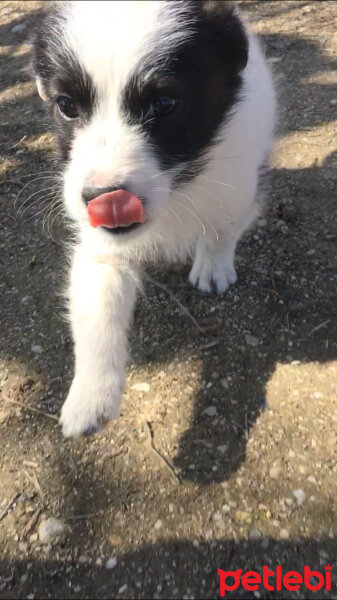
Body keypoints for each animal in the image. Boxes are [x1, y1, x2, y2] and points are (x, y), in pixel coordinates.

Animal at [31, 2, 274, 438]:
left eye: (163, 104)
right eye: (66, 105)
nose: (105, 199)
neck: (179, 187)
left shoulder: (239, 183)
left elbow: (222, 228)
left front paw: (213, 266)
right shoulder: (101, 244)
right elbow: (98, 312)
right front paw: (91, 396)